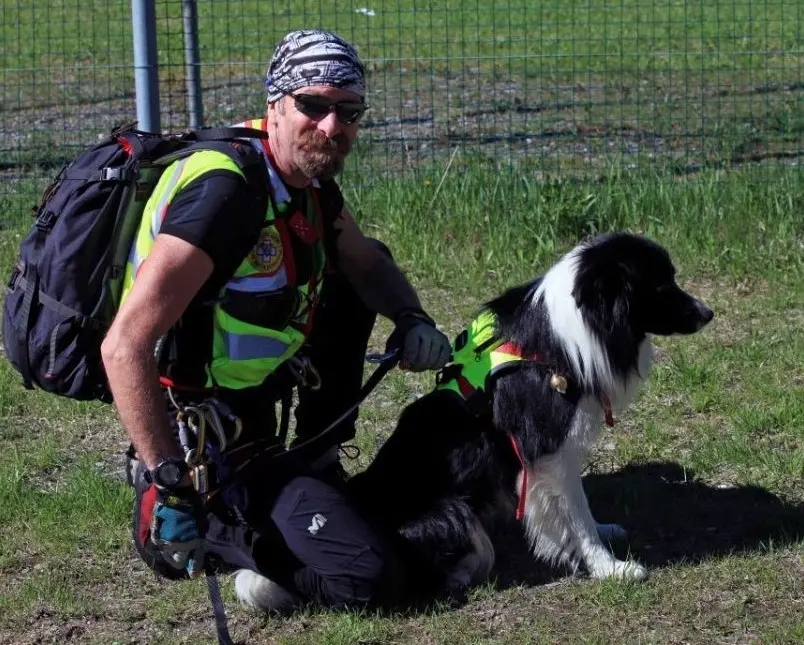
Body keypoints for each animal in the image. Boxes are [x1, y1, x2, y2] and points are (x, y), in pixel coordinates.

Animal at [348, 230, 712, 592]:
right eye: (661, 284)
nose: (708, 313)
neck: (559, 342)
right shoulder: (550, 449)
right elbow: (577, 515)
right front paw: (609, 567)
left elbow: (581, 510)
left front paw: (604, 531)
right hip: (453, 511)